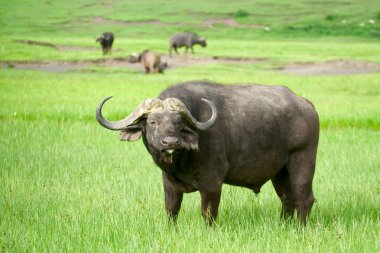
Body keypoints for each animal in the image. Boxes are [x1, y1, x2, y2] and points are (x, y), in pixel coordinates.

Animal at [96, 81, 320, 225]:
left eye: (178, 122)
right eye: (152, 122)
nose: (170, 142)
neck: (180, 161)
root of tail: (307, 105)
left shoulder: (212, 184)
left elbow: (208, 213)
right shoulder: (169, 184)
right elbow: (171, 210)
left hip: (303, 160)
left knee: (304, 198)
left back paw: (299, 228)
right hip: (280, 172)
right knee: (287, 199)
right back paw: (284, 226)